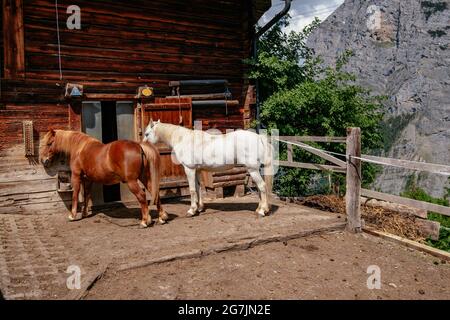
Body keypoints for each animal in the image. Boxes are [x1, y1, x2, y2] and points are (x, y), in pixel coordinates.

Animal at [39, 128, 167, 228]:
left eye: (49, 143)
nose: (44, 160)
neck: (80, 148)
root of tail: (139, 146)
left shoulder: (76, 176)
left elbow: (75, 195)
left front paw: (72, 215)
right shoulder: (88, 179)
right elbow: (87, 195)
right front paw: (85, 214)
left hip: (132, 181)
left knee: (142, 196)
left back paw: (144, 221)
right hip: (144, 178)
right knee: (155, 192)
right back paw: (161, 217)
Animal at [143, 120, 274, 218]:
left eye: (146, 134)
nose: (143, 147)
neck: (184, 139)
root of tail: (258, 137)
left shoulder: (189, 169)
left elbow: (192, 190)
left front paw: (191, 210)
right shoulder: (197, 170)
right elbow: (198, 188)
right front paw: (199, 208)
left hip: (253, 170)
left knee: (262, 186)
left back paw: (262, 211)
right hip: (255, 170)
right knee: (260, 188)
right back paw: (259, 209)